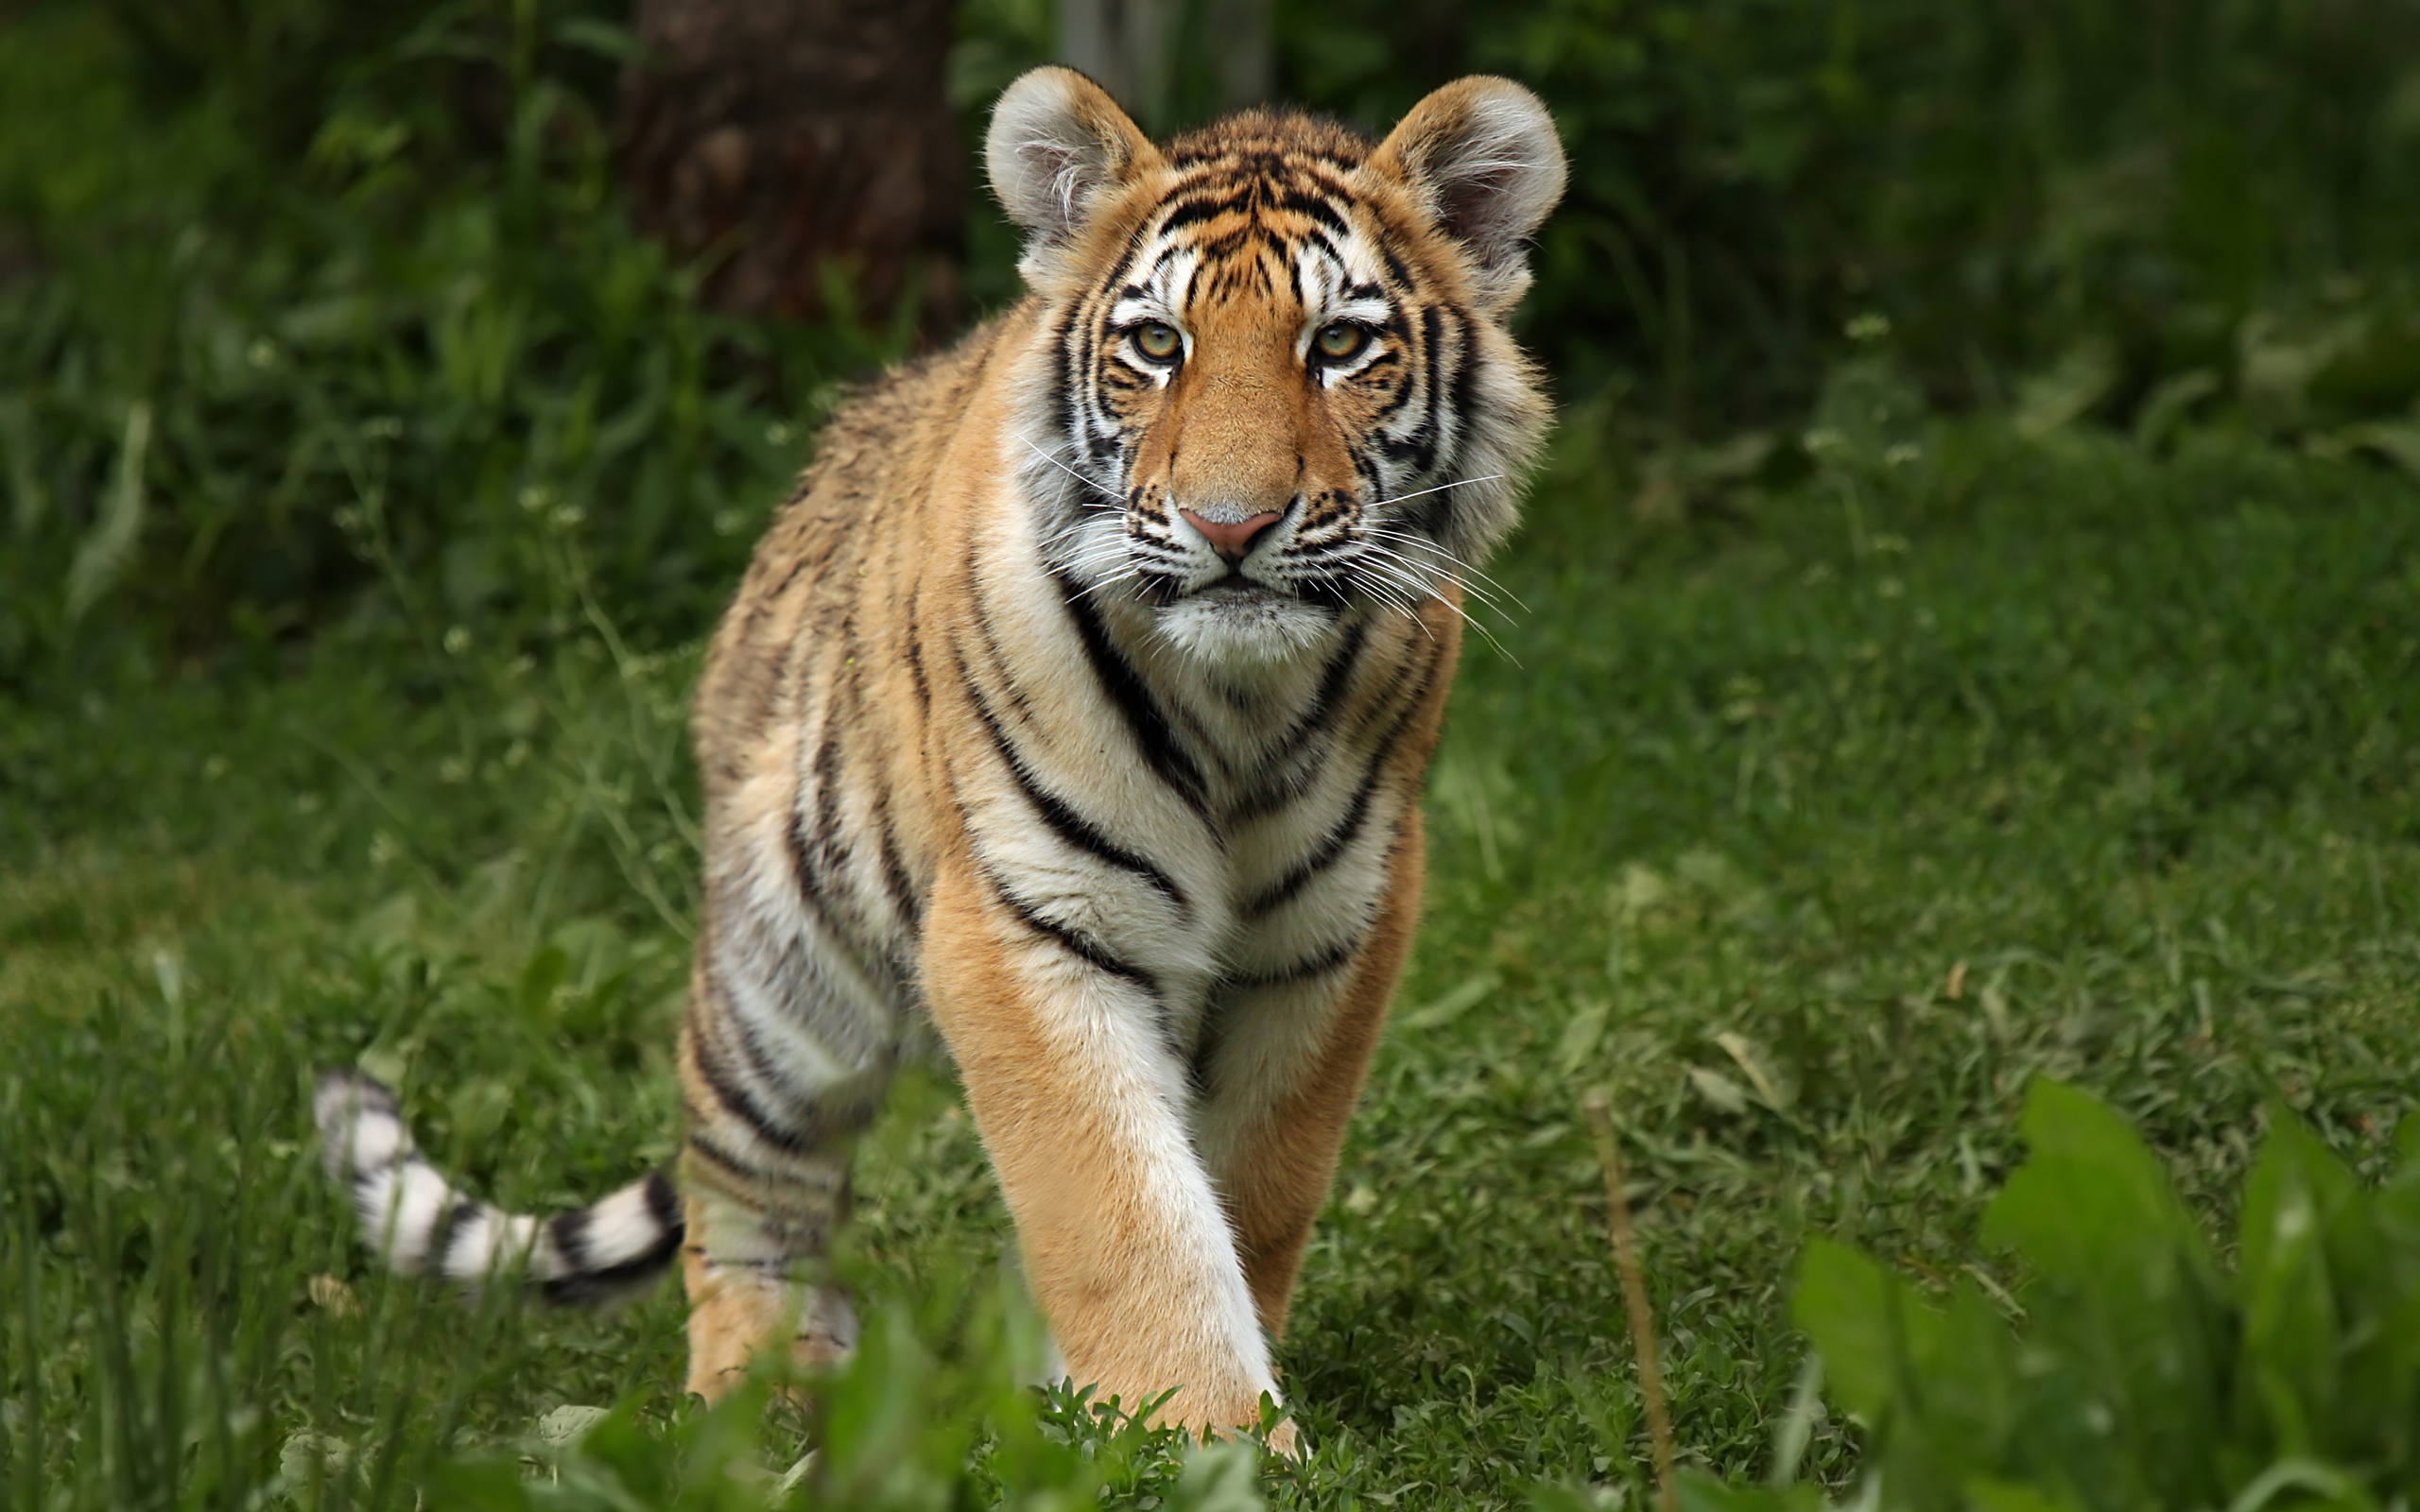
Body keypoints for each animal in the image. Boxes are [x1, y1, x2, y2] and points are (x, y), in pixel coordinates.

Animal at [317, 64, 1567, 1441]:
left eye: (1339, 347)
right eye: (1156, 347)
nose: (1231, 526)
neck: (1238, 704)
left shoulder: (1331, 934)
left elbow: (1248, 1188)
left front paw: (1146, 1415)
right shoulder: (1028, 924)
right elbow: (1124, 1211)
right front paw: (1210, 1440)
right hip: (782, 979)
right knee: (743, 1195)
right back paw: (758, 1403)